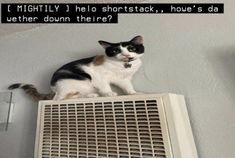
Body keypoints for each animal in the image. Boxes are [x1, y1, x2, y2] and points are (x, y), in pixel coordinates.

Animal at [8, 35, 145, 100]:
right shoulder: (100, 76)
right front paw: (108, 93)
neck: (122, 66)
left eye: (131, 48)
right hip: (78, 81)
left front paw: (134, 93)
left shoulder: (124, 79)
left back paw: (91, 96)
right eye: (116, 50)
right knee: (59, 99)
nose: (125, 54)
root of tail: (52, 88)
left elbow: (128, 86)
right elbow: (104, 86)